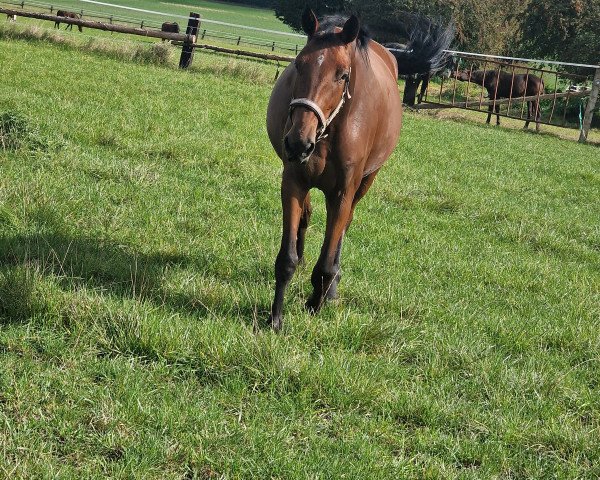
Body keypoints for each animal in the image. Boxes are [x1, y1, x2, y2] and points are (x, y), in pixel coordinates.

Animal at [264, 8, 452, 330]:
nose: (298, 141)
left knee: (344, 228)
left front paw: (317, 301)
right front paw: (276, 318)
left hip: (366, 182)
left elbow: (328, 259)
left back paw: (331, 289)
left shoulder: (343, 192)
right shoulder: (294, 181)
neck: (329, 132)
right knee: (308, 216)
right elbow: (287, 257)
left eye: (342, 75)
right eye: (299, 65)